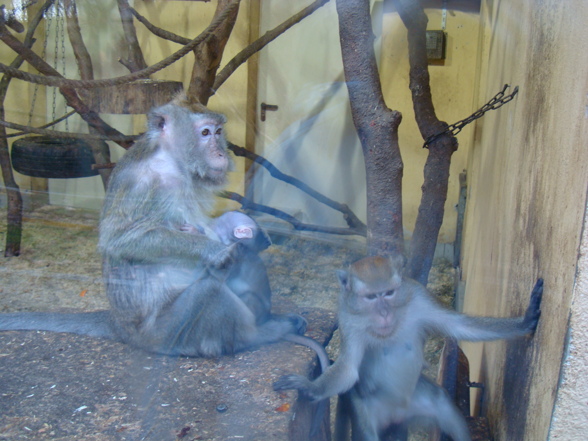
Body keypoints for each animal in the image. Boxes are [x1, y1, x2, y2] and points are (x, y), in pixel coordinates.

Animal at [274, 254, 544, 440]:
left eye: (389, 293)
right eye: (371, 297)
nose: (384, 313)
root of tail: (398, 413)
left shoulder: (418, 297)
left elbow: (462, 326)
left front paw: (526, 320)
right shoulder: (348, 319)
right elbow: (349, 369)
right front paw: (310, 387)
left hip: (418, 399)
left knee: (442, 403)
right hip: (368, 410)